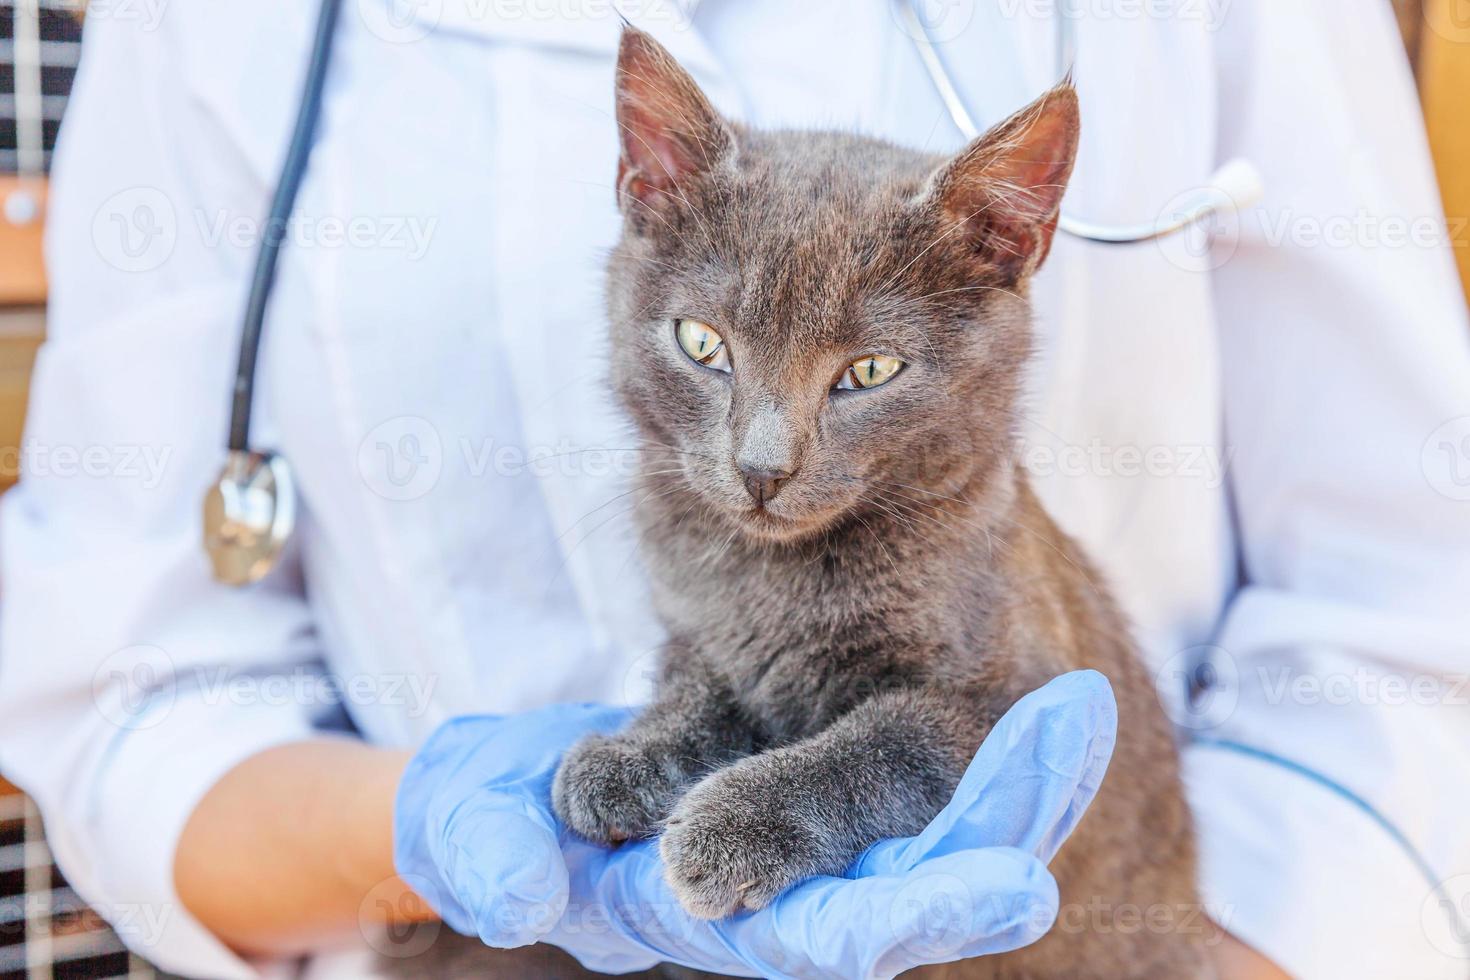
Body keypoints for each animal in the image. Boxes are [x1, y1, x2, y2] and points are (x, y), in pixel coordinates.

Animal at [543, 26, 1217, 975]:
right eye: (703, 344)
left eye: (869, 371)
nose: (761, 469)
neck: (776, 578)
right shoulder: (695, 628)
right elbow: (697, 683)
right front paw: (630, 755)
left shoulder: (1015, 692)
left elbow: (880, 741)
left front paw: (730, 822)